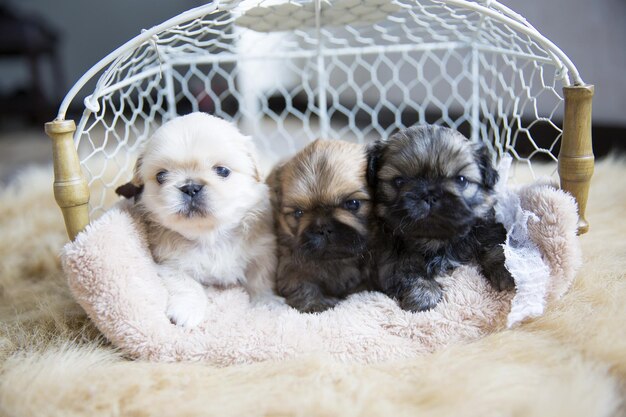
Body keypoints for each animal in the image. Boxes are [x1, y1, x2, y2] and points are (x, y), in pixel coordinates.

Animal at [116, 112, 282, 326]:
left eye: (222, 171)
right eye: (161, 176)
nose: (190, 187)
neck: (210, 236)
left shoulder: (262, 253)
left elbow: (260, 280)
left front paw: (268, 302)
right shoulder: (169, 263)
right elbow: (186, 283)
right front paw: (186, 311)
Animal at [266, 140, 372, 312]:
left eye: (353, 204)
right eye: (298, 213)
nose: (323, 228)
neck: (335, 260)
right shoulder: (291, 265)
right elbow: (302, 283)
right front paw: (314, 303)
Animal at [366, 125, 512, 310]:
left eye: (461, 180)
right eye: (399, 181)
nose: (429, 195)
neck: (435, 240)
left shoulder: (488, 228)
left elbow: (496, 248)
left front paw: (507, 271)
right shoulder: (388, 257)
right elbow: (406, 268)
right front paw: (424, 292)